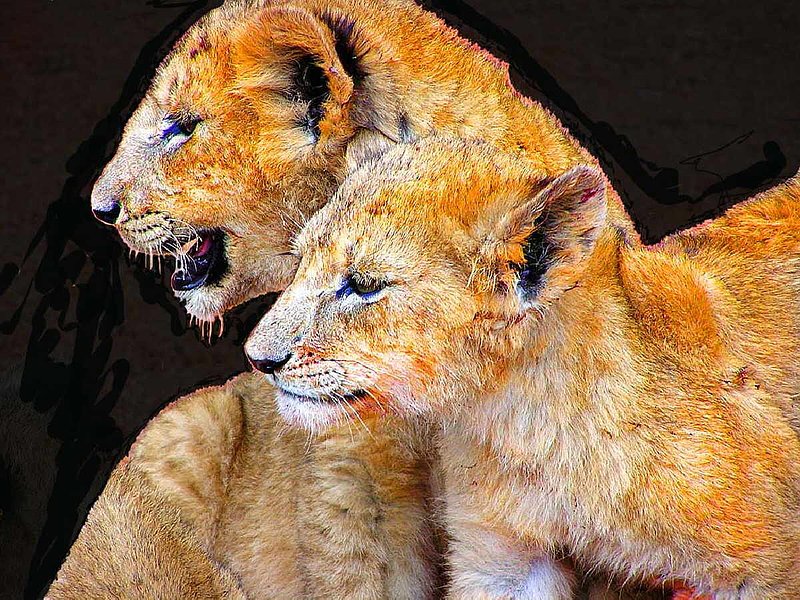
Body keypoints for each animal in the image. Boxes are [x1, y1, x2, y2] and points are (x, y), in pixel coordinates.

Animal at [245, 136, 800, 599]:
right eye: (299, 262)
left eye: (364, 285)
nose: (258, 358)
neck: (527, 420)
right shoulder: (501, 558)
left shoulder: (766, 565)